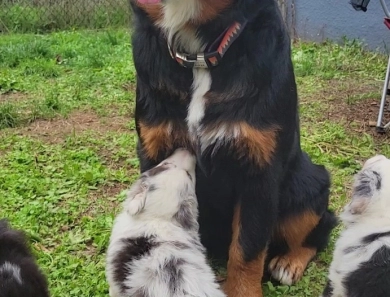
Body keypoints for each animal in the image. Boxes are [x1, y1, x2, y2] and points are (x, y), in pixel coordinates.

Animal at [129, 1, 336, 294]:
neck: (199, 56)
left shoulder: (259, 170)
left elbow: (246, 251)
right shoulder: (154, 153)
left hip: (308, 181)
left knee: (323, 224)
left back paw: (289, 262)